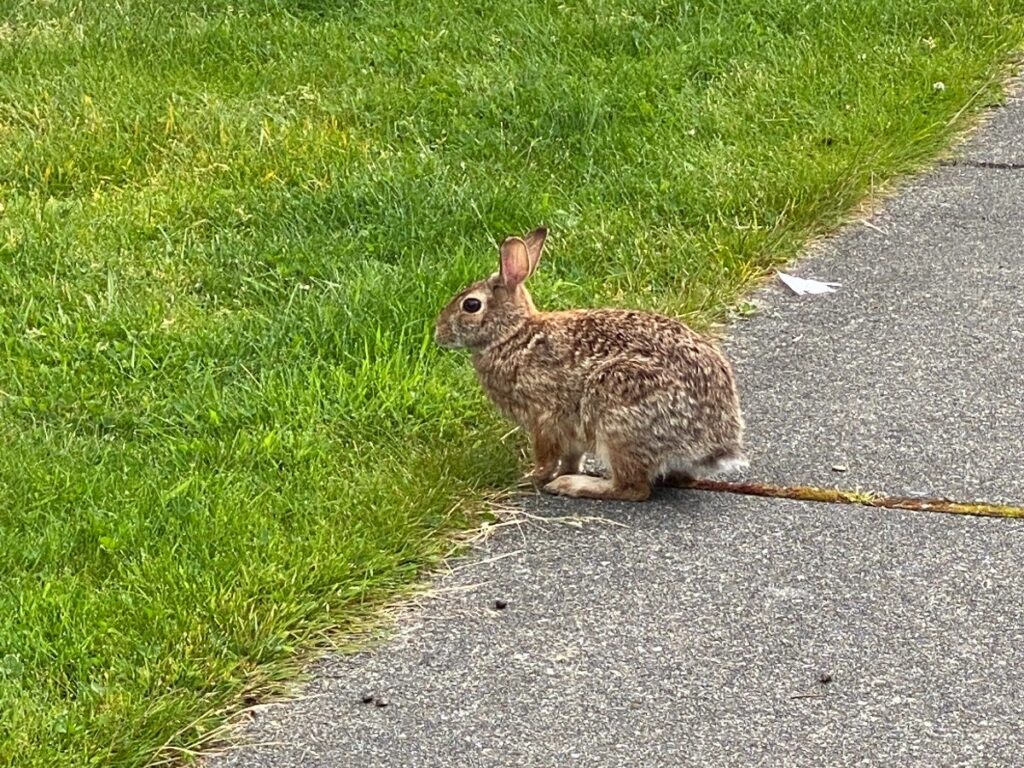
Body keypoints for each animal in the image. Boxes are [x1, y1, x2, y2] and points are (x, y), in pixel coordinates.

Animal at [434, 227, 747, 502]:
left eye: (471, 305)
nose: (438, 333)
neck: (513, 334)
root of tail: (715, 444)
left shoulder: (544, 417)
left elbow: (546, 457)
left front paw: (532, 478)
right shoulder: (569, 429)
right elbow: (572, 456)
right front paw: (562, 472)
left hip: (617, 411)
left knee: (632, 489)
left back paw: (574, 485)